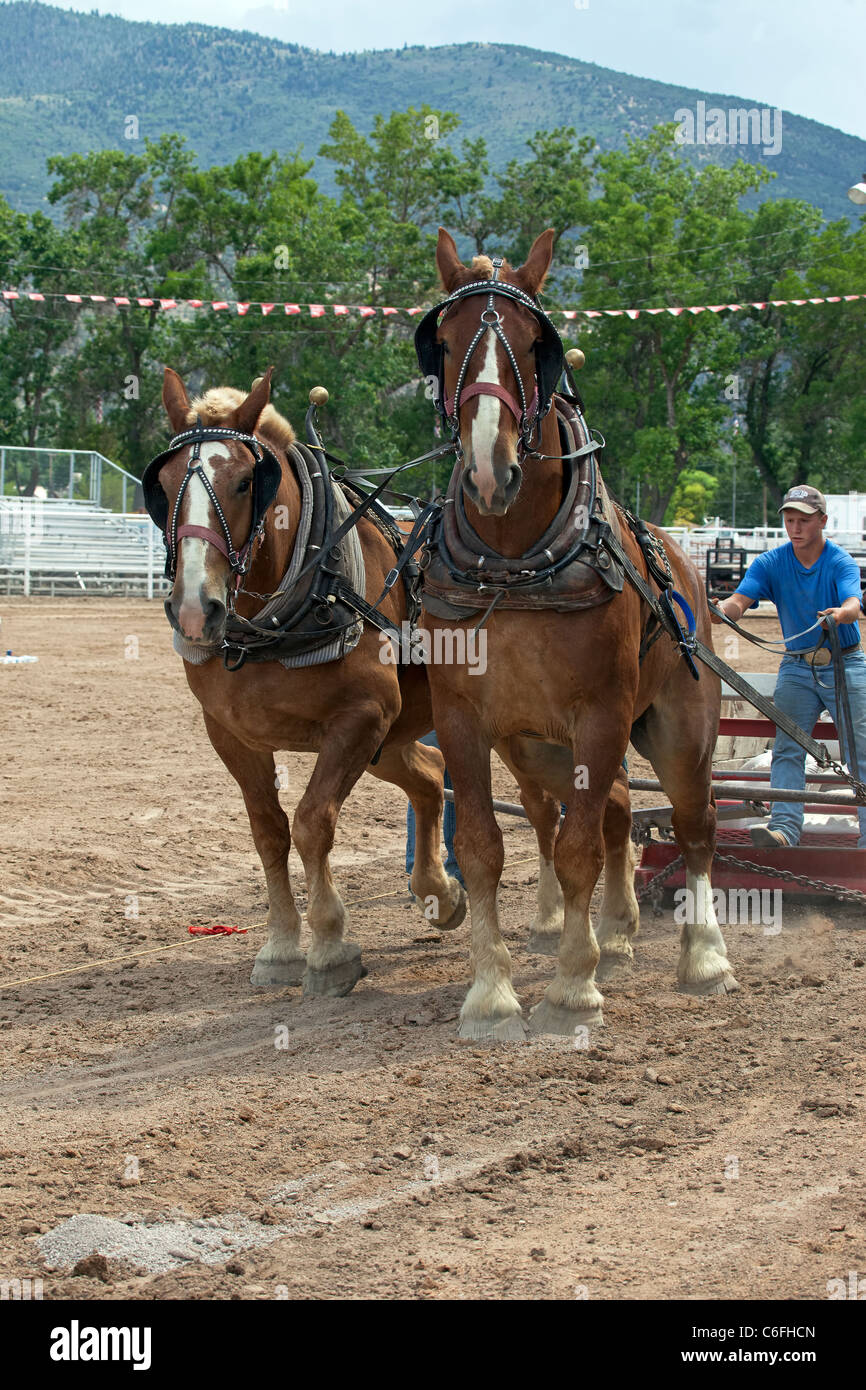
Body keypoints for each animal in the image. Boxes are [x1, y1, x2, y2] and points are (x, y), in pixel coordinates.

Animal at [142, 366, 465, 997]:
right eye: (163, 485)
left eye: (247, 482)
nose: (194, 609)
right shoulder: (232, 735)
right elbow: (268, 831)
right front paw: (281, 947)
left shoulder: (360, 718)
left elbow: (313, 822)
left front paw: (331, 947)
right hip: (391, 739)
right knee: (429, 774)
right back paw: (439, 893)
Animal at [413, 228, 737, 1039]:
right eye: (444, 342)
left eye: (537, 344)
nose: (489, 470)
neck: (515, 564)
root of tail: (685, 565)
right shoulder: (463, 721)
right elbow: (484, 848)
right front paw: (492, 994)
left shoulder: (600, 716)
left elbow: (579, 850)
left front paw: (570, 990)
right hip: (540, 749)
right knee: (620, 809)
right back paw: (615, 937)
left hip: (677, 730)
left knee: (692, 823)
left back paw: (703, 957)